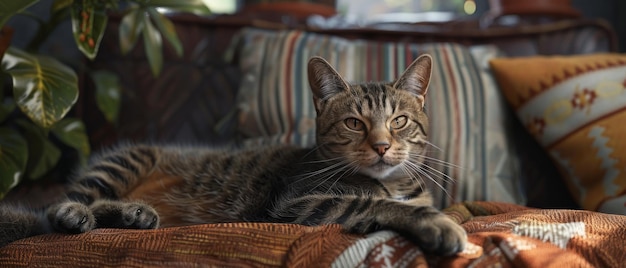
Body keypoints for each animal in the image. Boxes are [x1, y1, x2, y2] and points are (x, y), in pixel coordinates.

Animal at [0, 54, 466, 255]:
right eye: (354, 123)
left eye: (399, 121)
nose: (382, 145)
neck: (391, 182)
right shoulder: (296, 203)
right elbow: (370, 204)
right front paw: (434, 223)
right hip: (123, 161)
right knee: (61, 208)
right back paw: (79, 213)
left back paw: (135, 214)